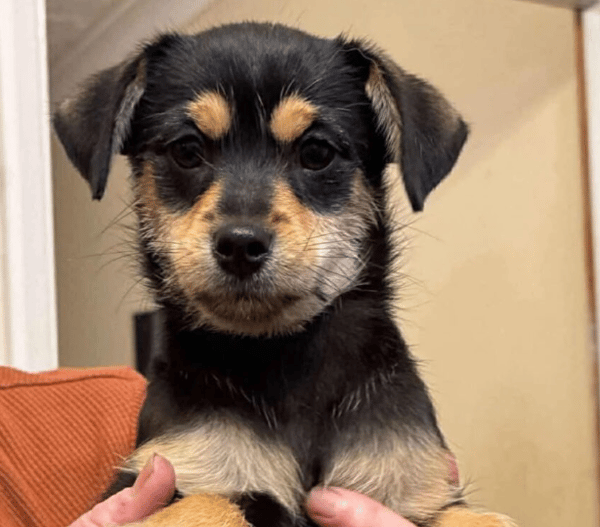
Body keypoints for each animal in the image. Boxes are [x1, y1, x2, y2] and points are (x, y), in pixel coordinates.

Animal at [54, 22, 517, 527]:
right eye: (187, 151)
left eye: (316, 152)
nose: (240, 244)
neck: (282, 354)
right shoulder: (171, 472)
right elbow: (210, 502)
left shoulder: (418, 488)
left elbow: (481, 518)